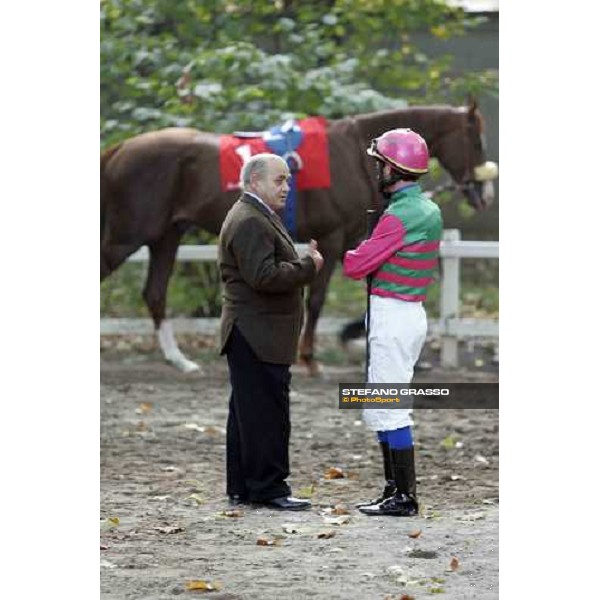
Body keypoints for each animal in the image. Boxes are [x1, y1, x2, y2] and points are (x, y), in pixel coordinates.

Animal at [102, 102, 496, 376]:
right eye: (476, 141)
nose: (484, 195)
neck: (351, 154)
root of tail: (121, 149)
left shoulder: (352, 240)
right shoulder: (332, 238)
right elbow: (317, 300)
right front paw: (310, 359)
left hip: (166, 236)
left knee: (155, 293)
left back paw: (180, 360)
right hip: (127, 236)